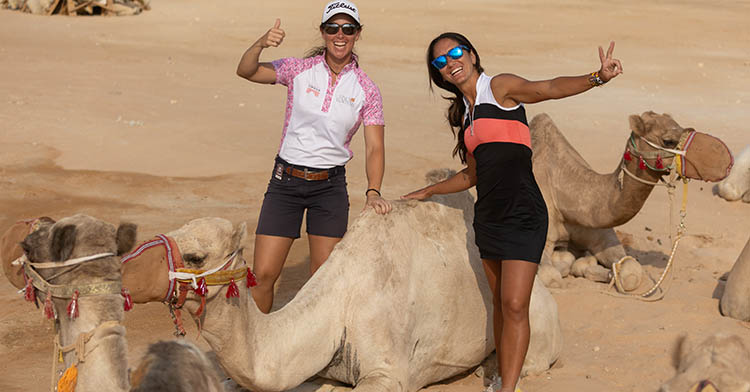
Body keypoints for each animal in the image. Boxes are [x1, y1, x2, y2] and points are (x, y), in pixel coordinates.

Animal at [120, 172, 560, 392]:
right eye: (170, 232)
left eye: (196, 256)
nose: (124, 273)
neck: (337, 306)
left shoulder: (387, 368)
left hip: (533, 317)